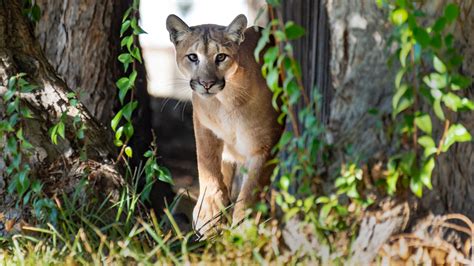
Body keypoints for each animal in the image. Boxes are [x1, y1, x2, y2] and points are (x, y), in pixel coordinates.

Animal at [166, 14, 282, 235]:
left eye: (220, 57)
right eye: (193, 57)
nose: (206, 84)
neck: (226, 101)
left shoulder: (265, 146)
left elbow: (251, 189)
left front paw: (244, 227)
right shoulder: (204, 126)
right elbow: (207, 163)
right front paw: (209, 212)